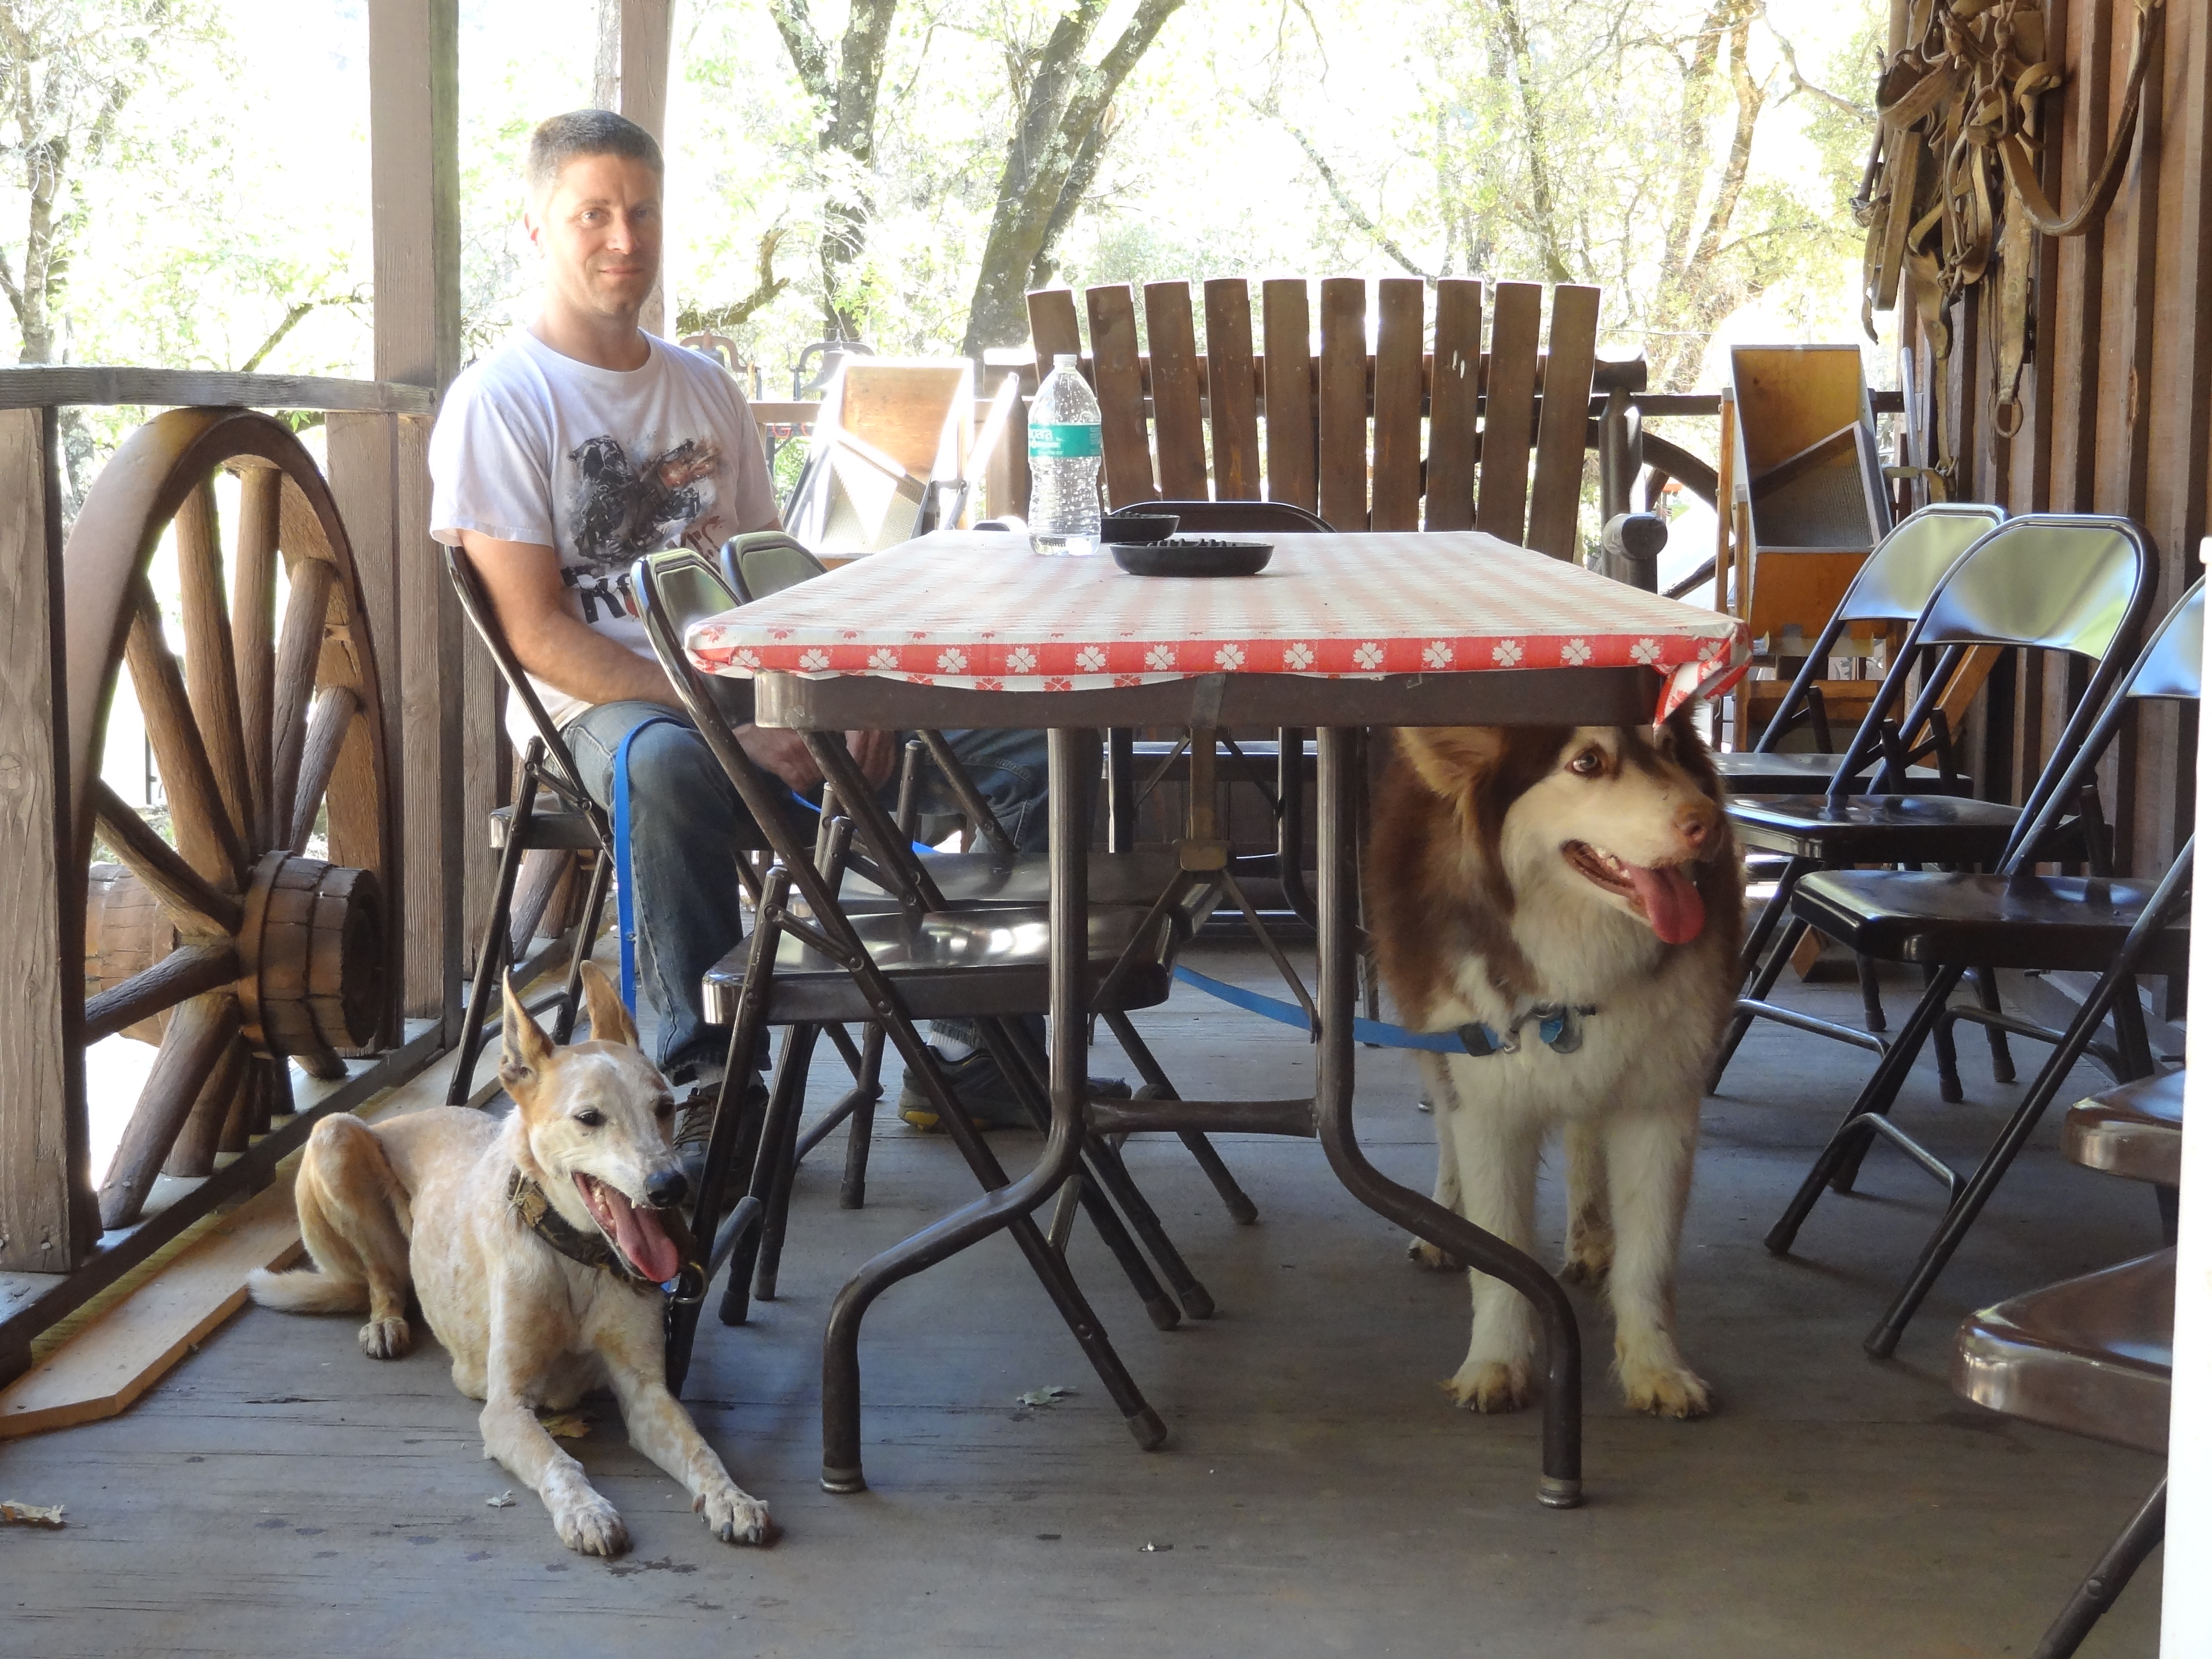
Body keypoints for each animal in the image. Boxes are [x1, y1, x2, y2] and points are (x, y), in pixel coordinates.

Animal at [249, 963, 770, 1556]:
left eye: (664, 1107)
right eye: (589, 1118)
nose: (670, 1187)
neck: (576, 1262)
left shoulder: (646, 1393)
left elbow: (700, 1447)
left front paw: (732, 1497)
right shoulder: (505, 1408)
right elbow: (559, 1461)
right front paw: (587, 1511)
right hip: (334, 1134)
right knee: (382, 1277)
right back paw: (385, 1322)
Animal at [1364, 711, 1742, 1419]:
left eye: (1671, 746)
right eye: (1586, 763)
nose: (1708, 824)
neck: (1583, 958)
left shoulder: (1661, 1102)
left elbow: (1650, 1259)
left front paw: (1656, 1366)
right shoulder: (1487, 1098)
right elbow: (1501, 1249)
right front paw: (1496, 1361)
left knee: (1585, 1134)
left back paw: (1591, 1236)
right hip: (1431, 1029)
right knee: (1446, 1128)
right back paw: (1442, 1223)